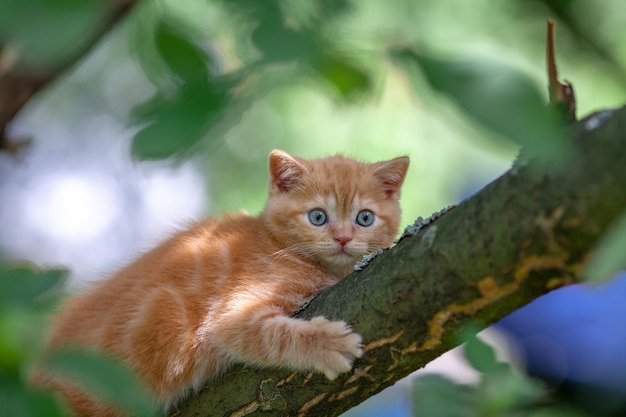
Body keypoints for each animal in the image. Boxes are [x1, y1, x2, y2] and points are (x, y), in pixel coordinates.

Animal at [33, 150, 410, 416]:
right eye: (318, 216)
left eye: (365, 218)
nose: (344, 238)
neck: (276, 244)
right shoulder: (229, 314)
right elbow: (270, 333)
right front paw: (326, 343)